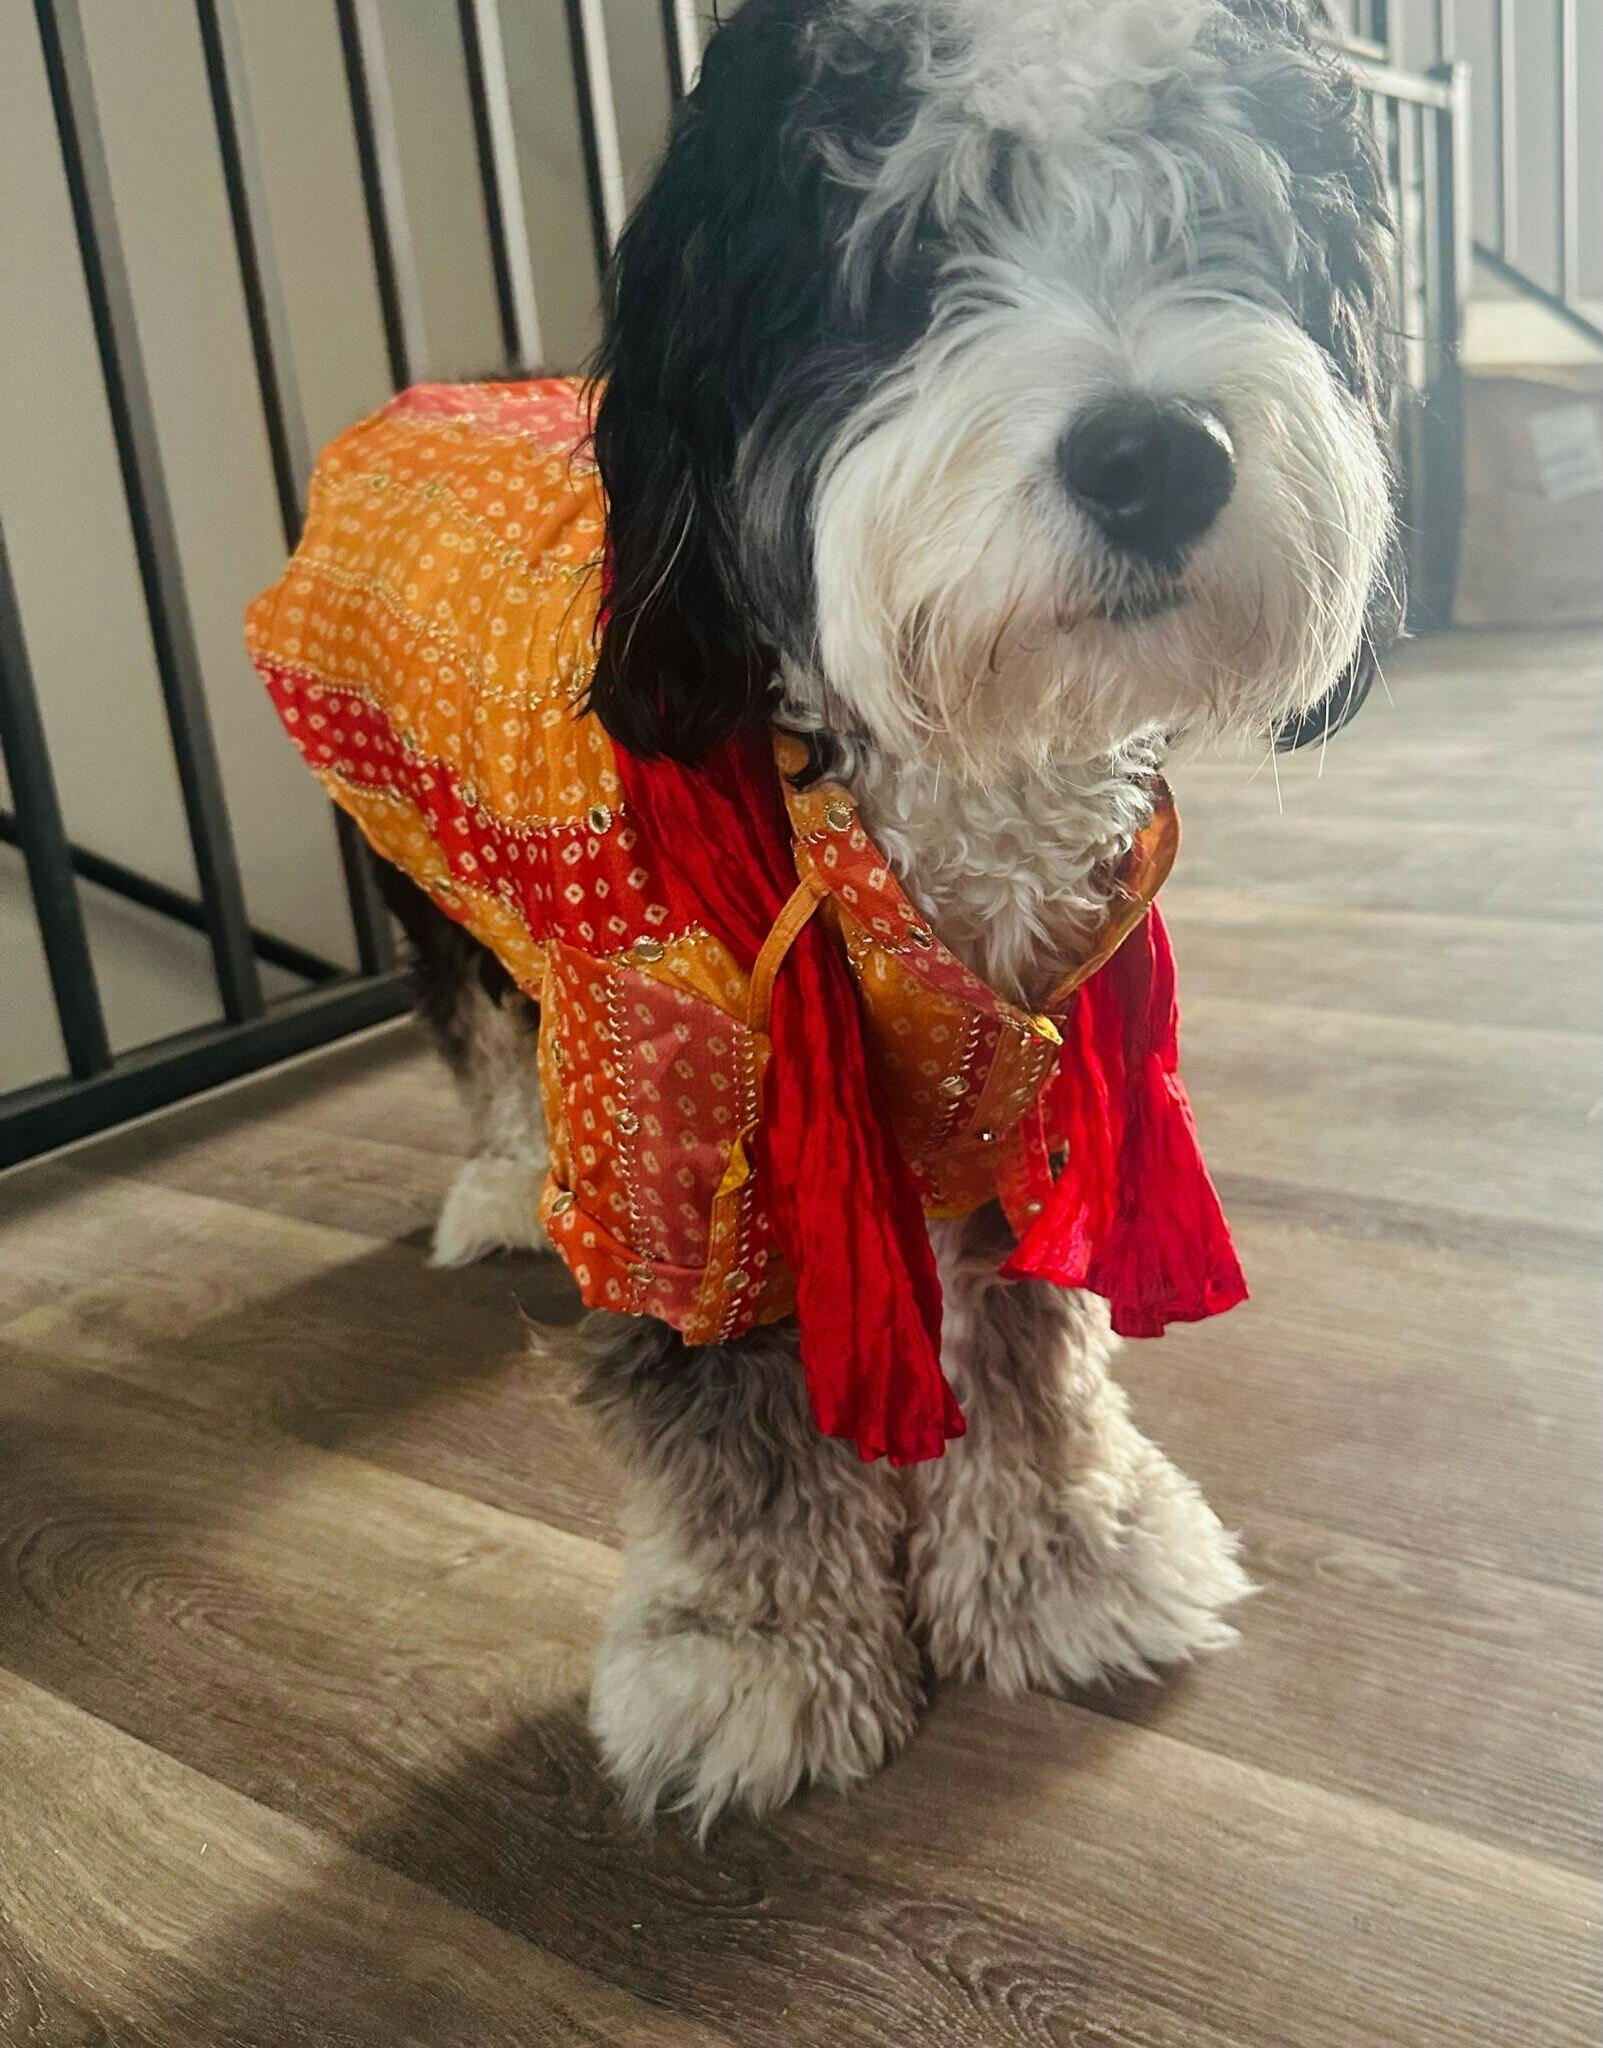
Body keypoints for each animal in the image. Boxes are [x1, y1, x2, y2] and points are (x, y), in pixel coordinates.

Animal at [274, 0, 1399, 1831]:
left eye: (1215, 206)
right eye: (915, 250)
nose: (1156, 455)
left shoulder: (1037, 1063)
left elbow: (1023, 1342)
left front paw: (1062, 1557)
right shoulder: (683, 1127)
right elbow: (724, 1406)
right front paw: (750, 1648)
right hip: (414, 869)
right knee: (476, 1024)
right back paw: (506, 1175)